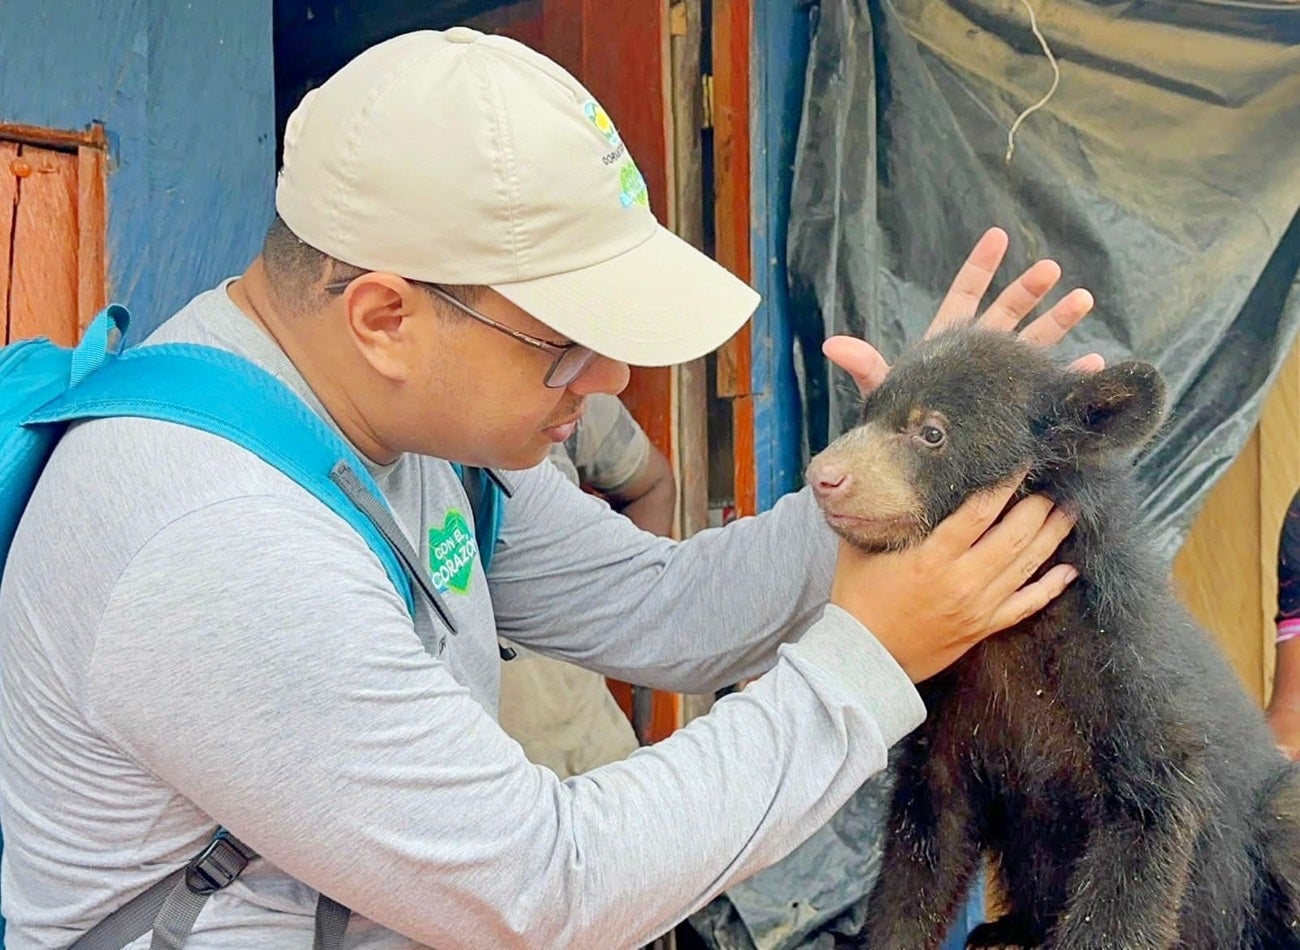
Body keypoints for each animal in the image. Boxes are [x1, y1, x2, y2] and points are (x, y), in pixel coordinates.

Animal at [805, 324, 1300, 949]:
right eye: (865, 414)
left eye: (931, 432)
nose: (823, 477)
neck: (1009, 633)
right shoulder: (948, 708)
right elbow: (922, 846)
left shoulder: (1125, 671)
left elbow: (1144, 831)